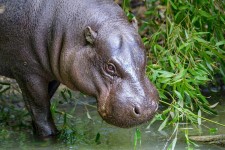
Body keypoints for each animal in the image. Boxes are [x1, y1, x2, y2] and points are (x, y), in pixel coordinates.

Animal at [0, 0, 158, 137]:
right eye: (110, 67)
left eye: (145, 55)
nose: (147, 108)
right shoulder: (27, 73)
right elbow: (40, 110)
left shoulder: (52, 73)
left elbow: (45, 101)